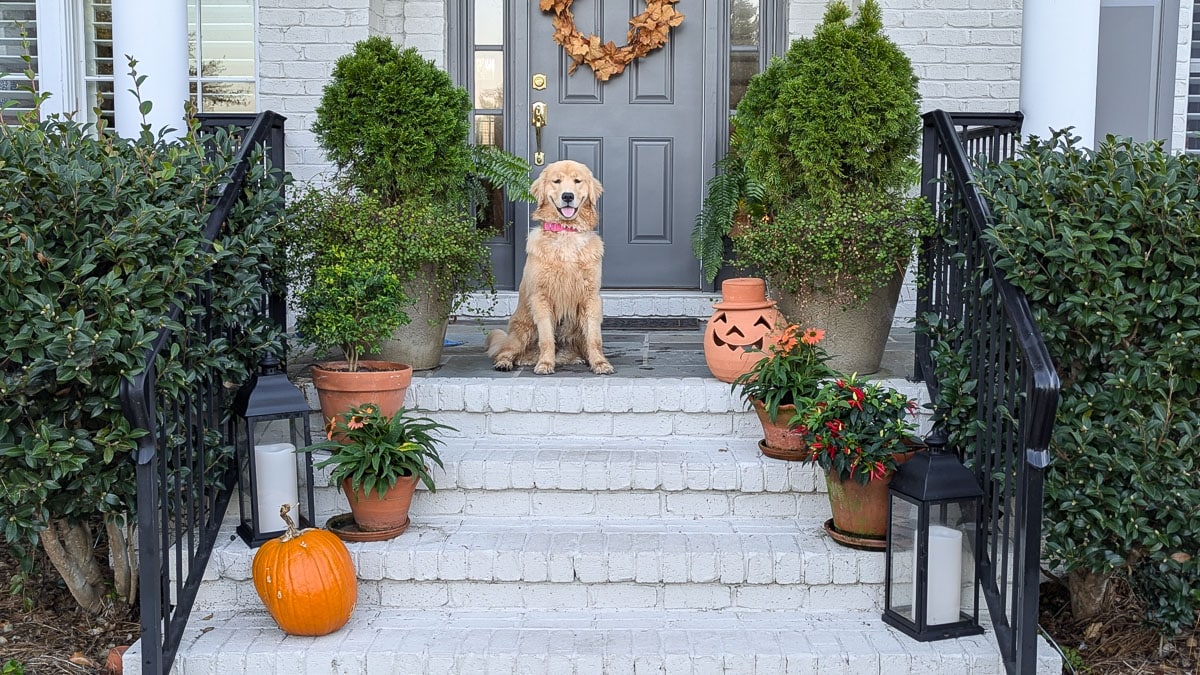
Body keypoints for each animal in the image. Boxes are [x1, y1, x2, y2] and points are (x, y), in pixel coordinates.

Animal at [484, 160, 614, 374]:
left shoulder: (590, 297)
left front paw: (600, 363)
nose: (568, 196)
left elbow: (594, 339)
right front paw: (545, 363)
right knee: (505, 351)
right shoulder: (541, 297)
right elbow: (546, 338)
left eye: (577, 181)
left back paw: (578, 359)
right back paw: (506, 363)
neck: (566, 232)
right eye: (557, 181)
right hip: (522, 331)